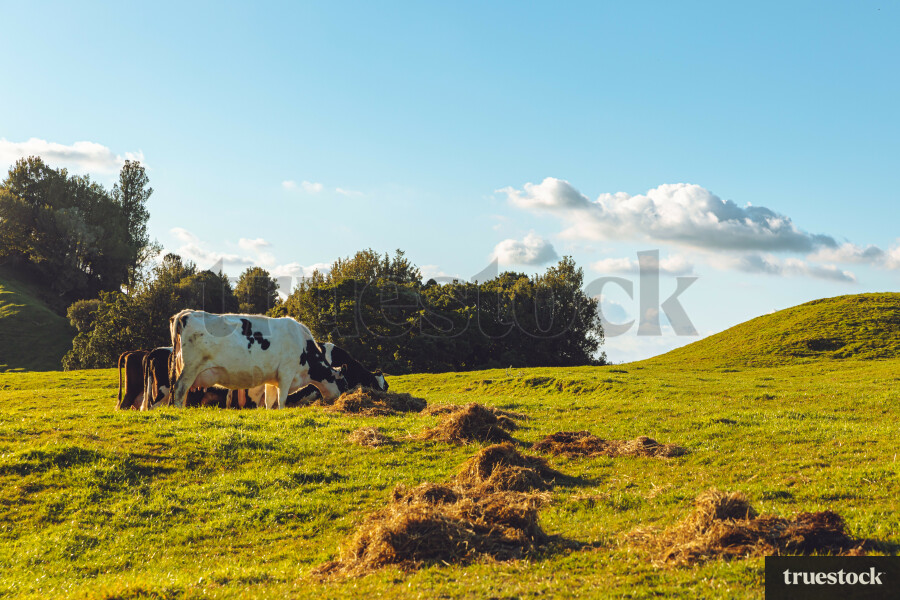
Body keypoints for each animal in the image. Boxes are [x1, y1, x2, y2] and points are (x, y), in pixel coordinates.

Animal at [168, 310, 344, 409]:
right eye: (345, 383)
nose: (341, 398)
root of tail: (188, 313)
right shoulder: (286, 373)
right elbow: (281, 400)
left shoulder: (273, 379)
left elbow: (269, 401)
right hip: (190, 368)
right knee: (179, 389)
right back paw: (179, 411)